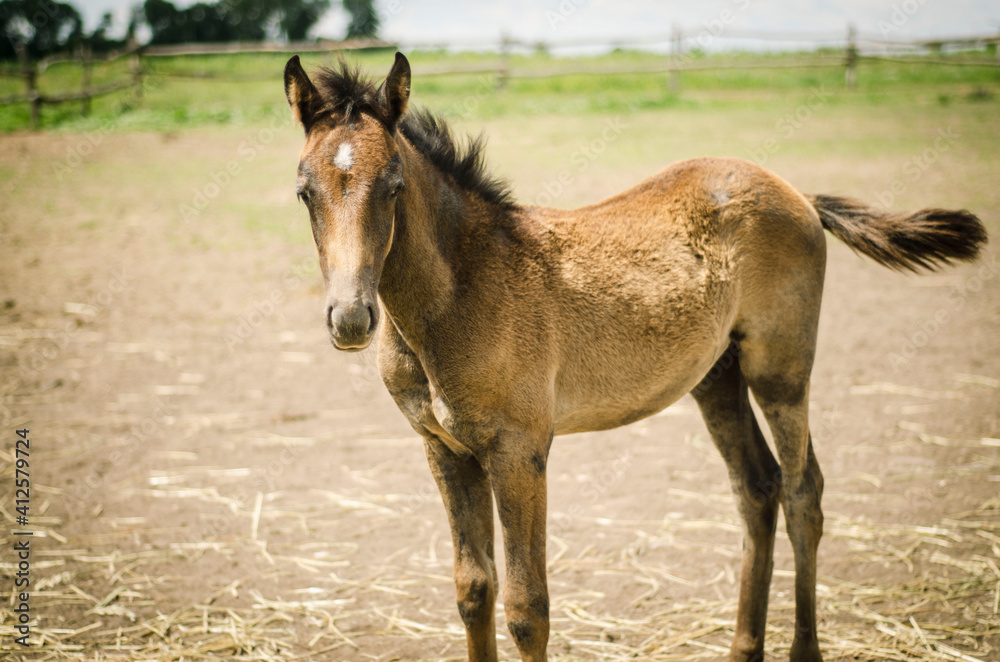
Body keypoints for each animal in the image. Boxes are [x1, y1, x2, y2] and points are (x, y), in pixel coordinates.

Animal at [282, 52, 987, 662]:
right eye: (305, 192)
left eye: (393, 186)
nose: (350, 317)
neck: (460, 289)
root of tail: (798, 195)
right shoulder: (442, 448)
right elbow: (473, 592)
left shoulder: (520, 450)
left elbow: (528, 609)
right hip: (716, 377)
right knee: (756, 488)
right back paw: (743, 648)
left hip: (780, 370)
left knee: (801, 491)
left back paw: (802, 649)